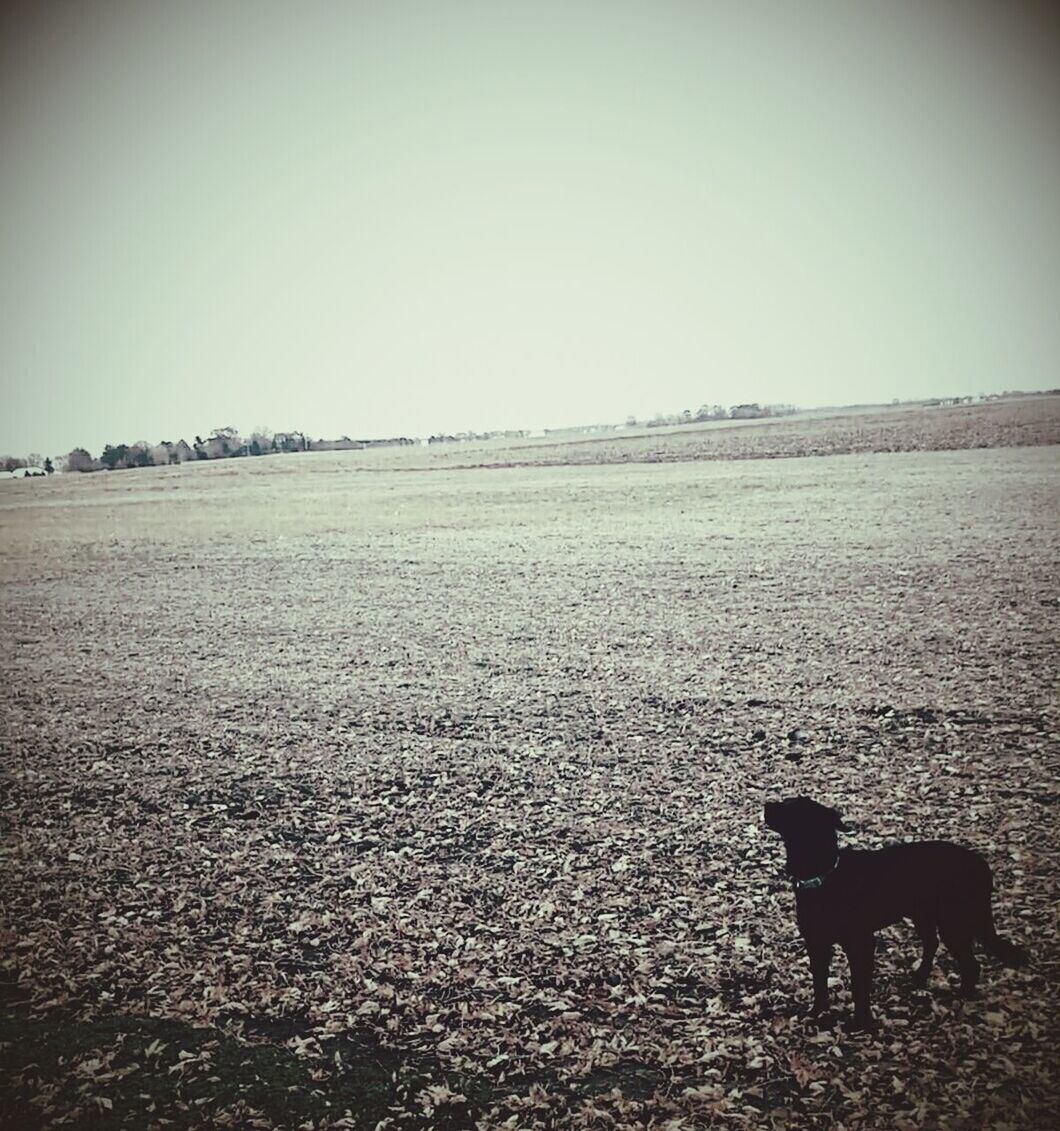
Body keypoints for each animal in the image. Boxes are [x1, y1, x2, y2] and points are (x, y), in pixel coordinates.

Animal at [760, 796, 1027, 1026]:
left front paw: (860, 1023)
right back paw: (921, 976)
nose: (766, 804)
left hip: (954, 923)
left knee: (971, 964)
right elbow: (819, 983)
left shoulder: (861, 944)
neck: (825, 875)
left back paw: (961, 996)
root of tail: (981, 864)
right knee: (932, 943)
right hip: (924, 915)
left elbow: (859, 985)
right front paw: (817, 1012)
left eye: (792, 809)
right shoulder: (816, 943)